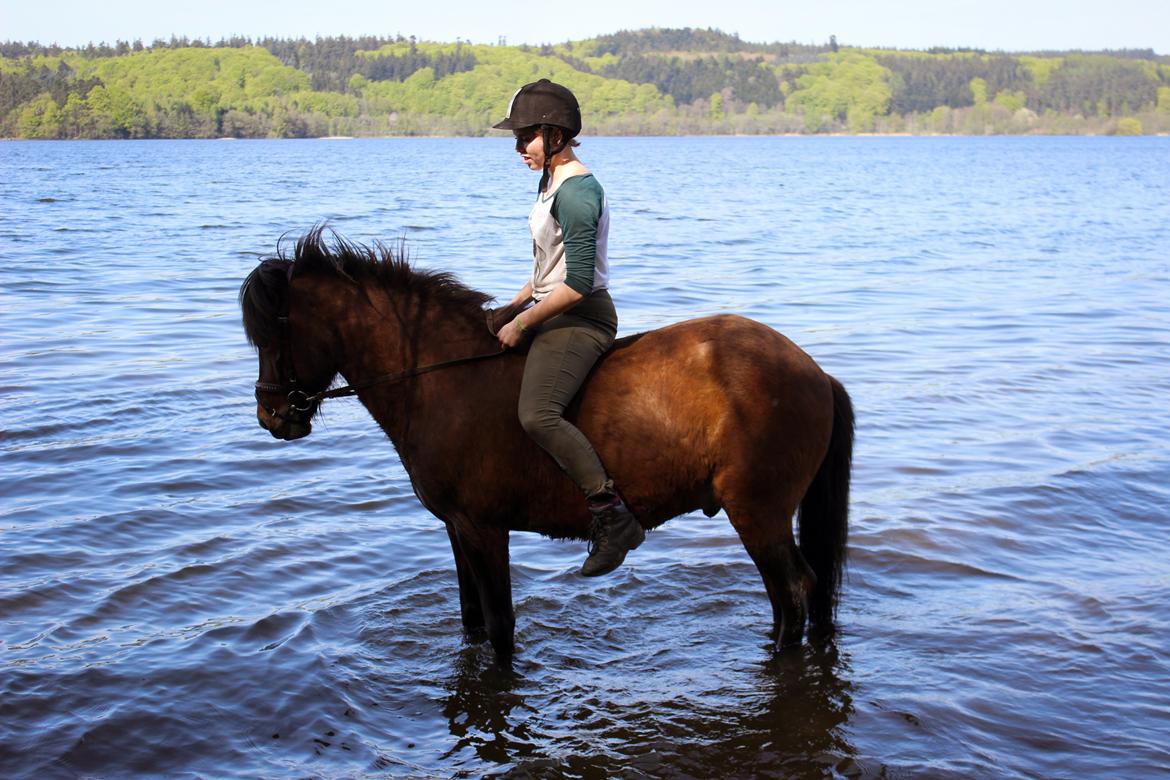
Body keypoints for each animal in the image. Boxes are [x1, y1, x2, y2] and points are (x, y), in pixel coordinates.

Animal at [242, 229, 856, 664]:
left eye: (274, 332)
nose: (272, 417)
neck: (441, 378)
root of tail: (814, 371)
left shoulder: (483, 528)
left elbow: (499, 626)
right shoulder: (457, 528)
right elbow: (471, 620)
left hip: (758, 511)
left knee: (794, 589)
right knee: (789, 596)